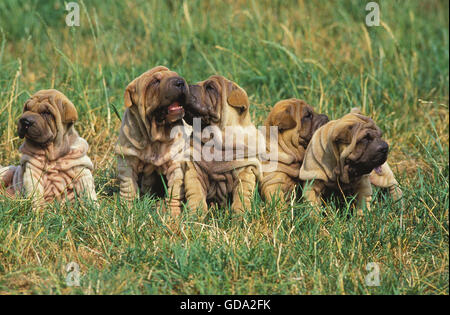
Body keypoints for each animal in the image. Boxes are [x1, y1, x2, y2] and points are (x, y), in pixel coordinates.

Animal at [114, 65, 190, 216]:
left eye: (176, 75)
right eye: (155, 81)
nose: (180, 82)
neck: (155, 136)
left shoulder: (177, 164)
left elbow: (174, 191)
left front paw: (172, 214)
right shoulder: (127, 160)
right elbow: (128, 186)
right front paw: (127, 209)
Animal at [182, 76, 262, 215]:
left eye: (210, 88)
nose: (188, 86)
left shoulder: (246, 170)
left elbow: (242, 195)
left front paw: (241, 213)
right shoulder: (194, 169)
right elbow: (195, 192)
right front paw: (196, 213)